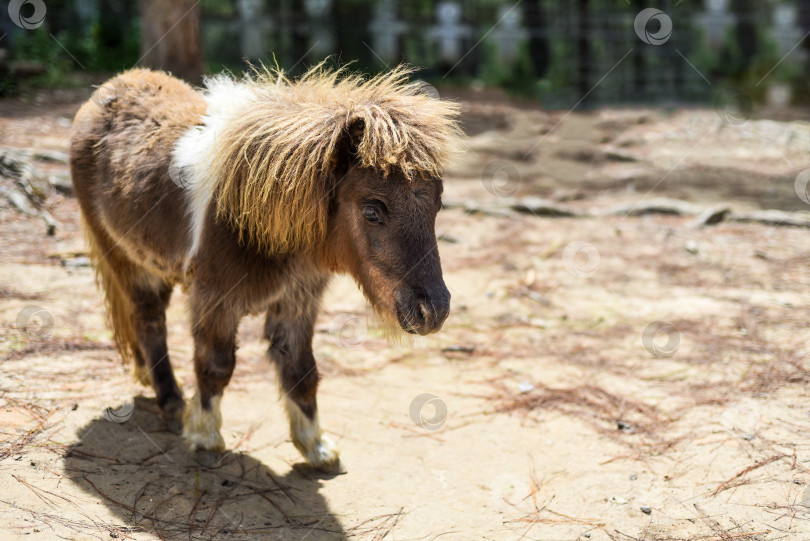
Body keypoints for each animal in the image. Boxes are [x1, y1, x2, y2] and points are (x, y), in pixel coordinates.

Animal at [71, 62, 460, 468]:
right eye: (372, 211)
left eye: (437, 205)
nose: (433, 311)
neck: (251, 218)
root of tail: (110, 88)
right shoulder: (215, 300)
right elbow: (216, 365)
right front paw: (205, 437)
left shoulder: (297, 302)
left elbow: (301, 370)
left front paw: (316, 447)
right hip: (126, 262)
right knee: (149, 323)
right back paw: (173, 404)